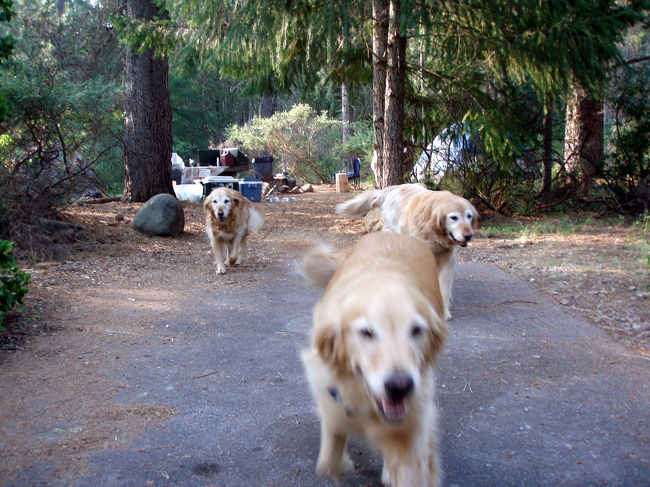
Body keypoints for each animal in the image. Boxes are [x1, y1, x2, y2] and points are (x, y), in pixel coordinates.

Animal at [298, 233, 446, 487]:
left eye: (417, 330)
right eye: (366, 332)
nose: (400, 386)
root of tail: (395, 234)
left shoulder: (412, 430)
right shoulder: (329, 394)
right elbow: (328, 460)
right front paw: (342, 463)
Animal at [334, 184, 476, 320]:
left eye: (469, 216)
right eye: (454, 217)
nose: (468, 235)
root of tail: (391, 189)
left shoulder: (447, 260)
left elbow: (444, 288)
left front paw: (444, 312)